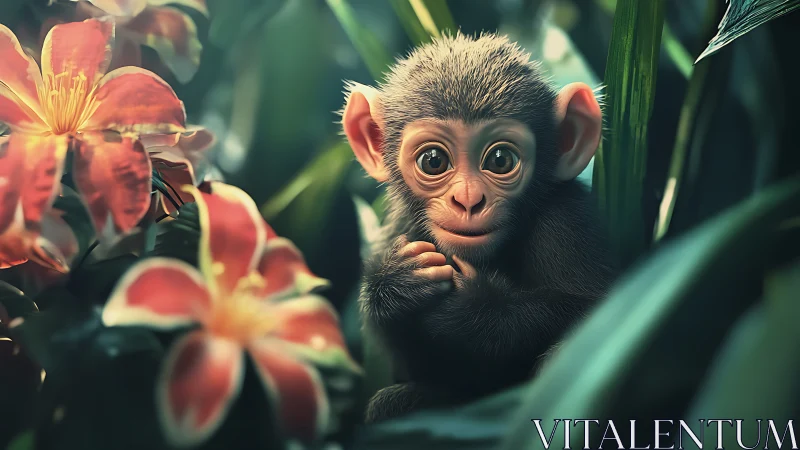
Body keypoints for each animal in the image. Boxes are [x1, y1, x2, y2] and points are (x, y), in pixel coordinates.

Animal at [340, 33, 616, 423]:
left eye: (500, 160)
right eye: (433, 161)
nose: (469, 200)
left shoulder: (566, 221)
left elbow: (596, 309)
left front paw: (474, 310)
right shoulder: (398, 227)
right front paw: (394, 282)